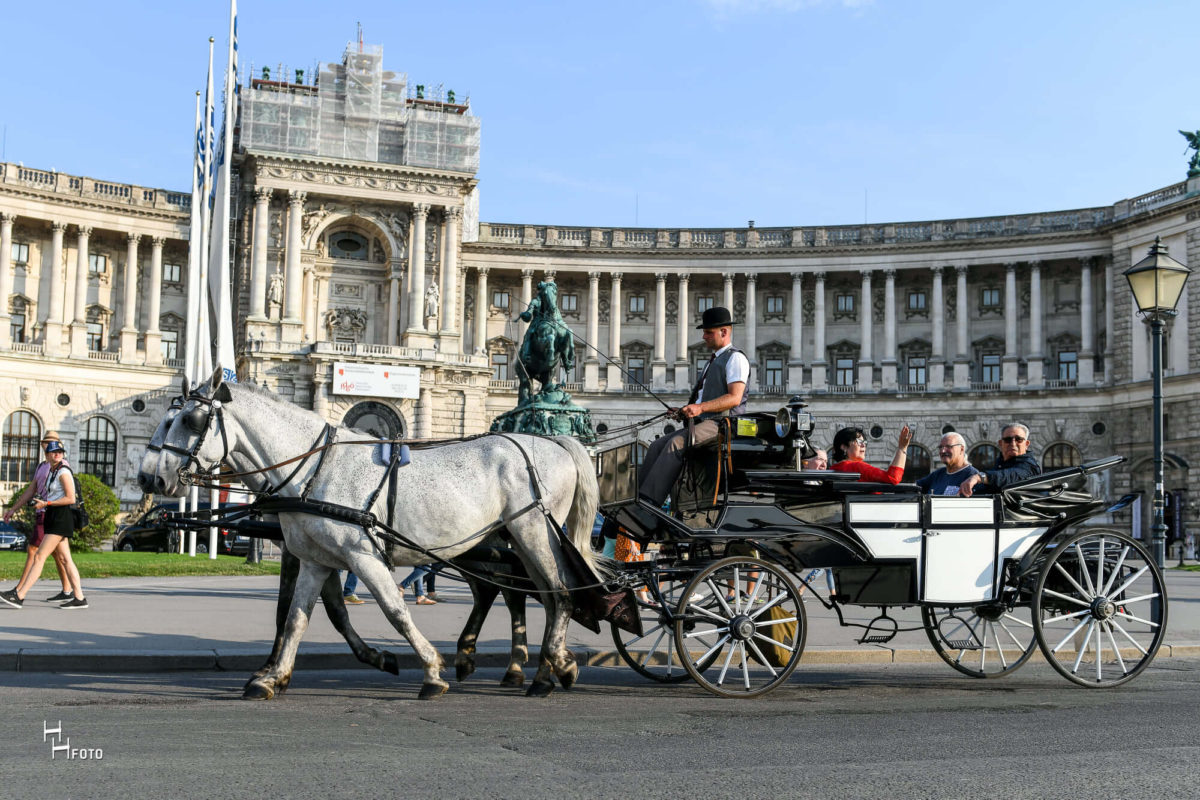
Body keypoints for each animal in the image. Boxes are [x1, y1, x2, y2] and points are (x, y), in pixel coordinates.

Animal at [150, 371, 600, 700]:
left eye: (190, 421)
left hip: (532, 531)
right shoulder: (315, 559)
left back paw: (544, 671)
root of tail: (557, 442)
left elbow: (394, 611)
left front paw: (430, 670)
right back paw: (545, 667)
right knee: (527, 593)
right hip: (508, 541)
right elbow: (297, 618)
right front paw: (271, 677)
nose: (153, 478)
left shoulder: (362, 555)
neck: (315, 468)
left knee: (558, 593)